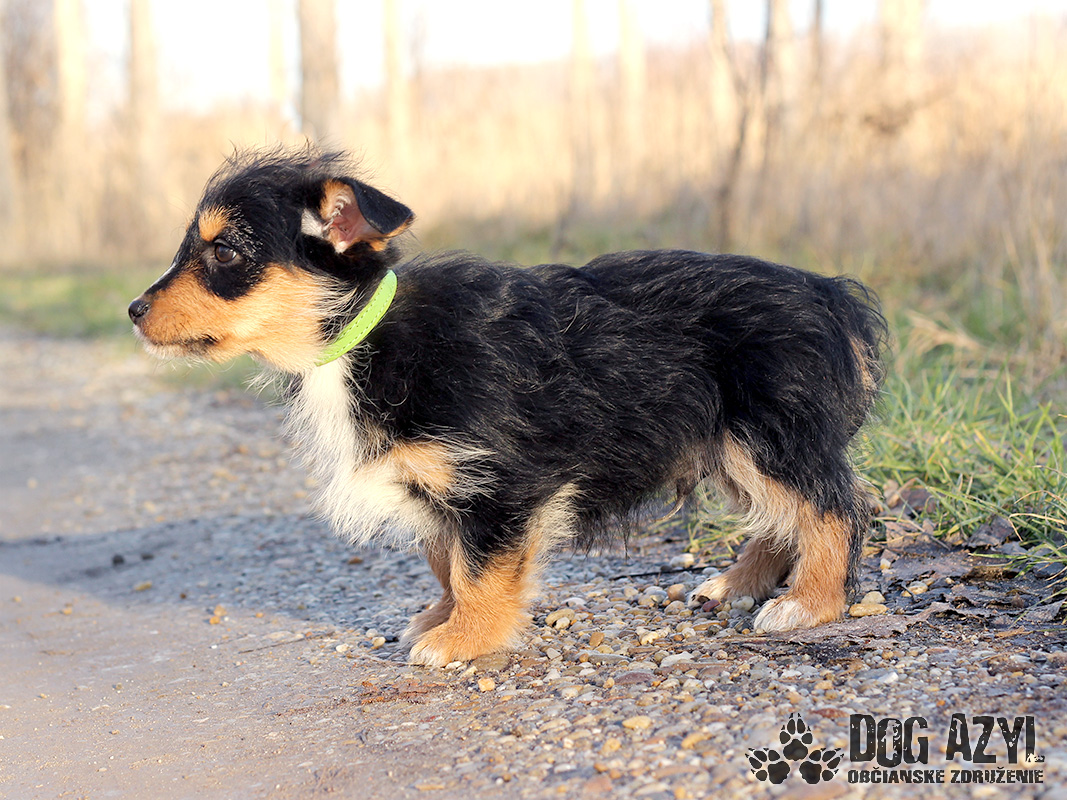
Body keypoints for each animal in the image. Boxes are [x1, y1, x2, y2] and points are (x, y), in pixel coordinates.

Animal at [129, 148, 887, 667]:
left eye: (226, 251)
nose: (133, 311)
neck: (364, 336)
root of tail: (827, 290)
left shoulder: (499, 481)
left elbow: (478, 568)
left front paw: (463, 638)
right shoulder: (444, 483)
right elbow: (444, 558)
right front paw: (439, 618)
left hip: (765, 434)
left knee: (833, 507)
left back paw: (808, 603)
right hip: (727, 443)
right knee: (784, 515)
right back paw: (737, 584)